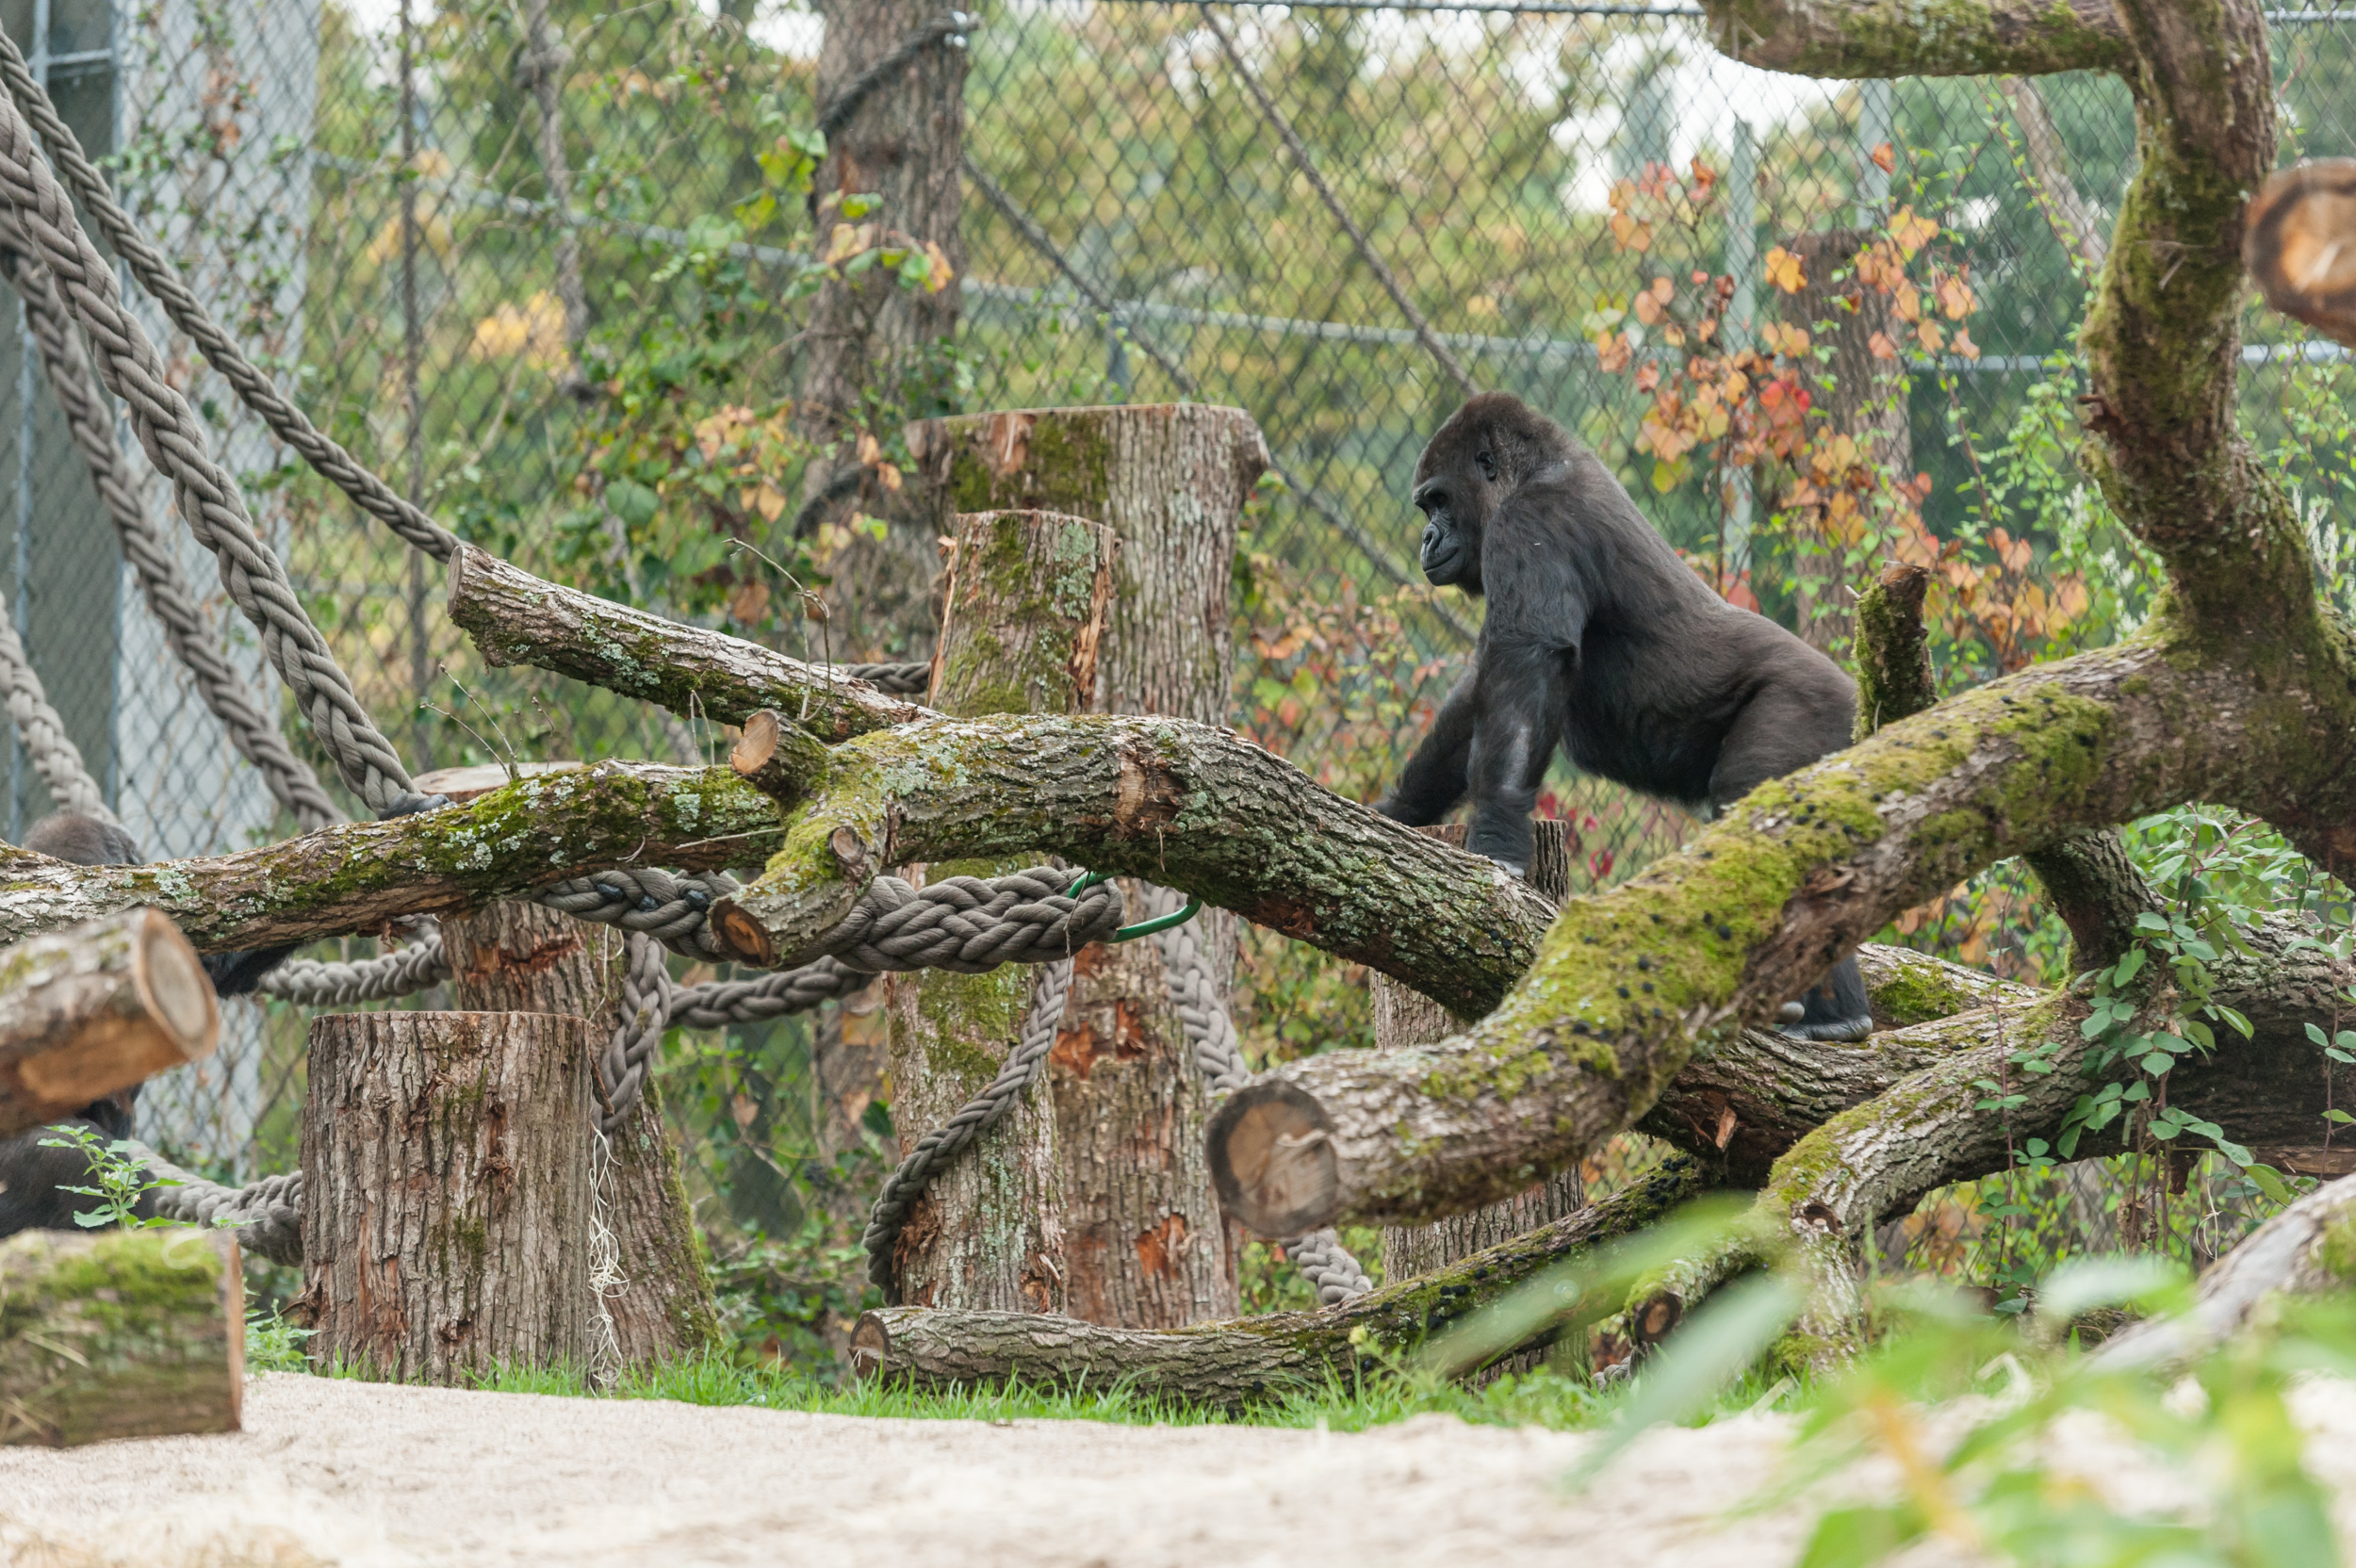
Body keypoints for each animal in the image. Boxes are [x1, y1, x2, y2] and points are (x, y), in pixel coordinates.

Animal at [1376, 390, 1875, 1036]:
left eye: (1438, 501)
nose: (1426, 540)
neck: (1532, 472)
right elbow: (1481, 691)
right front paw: (1402, 810)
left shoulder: (1529, 522)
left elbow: (1525, 658)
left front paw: (1495, 838)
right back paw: (1840, 1016)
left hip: (1811, 707)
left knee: (1756, 807)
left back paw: (1822, 1009)